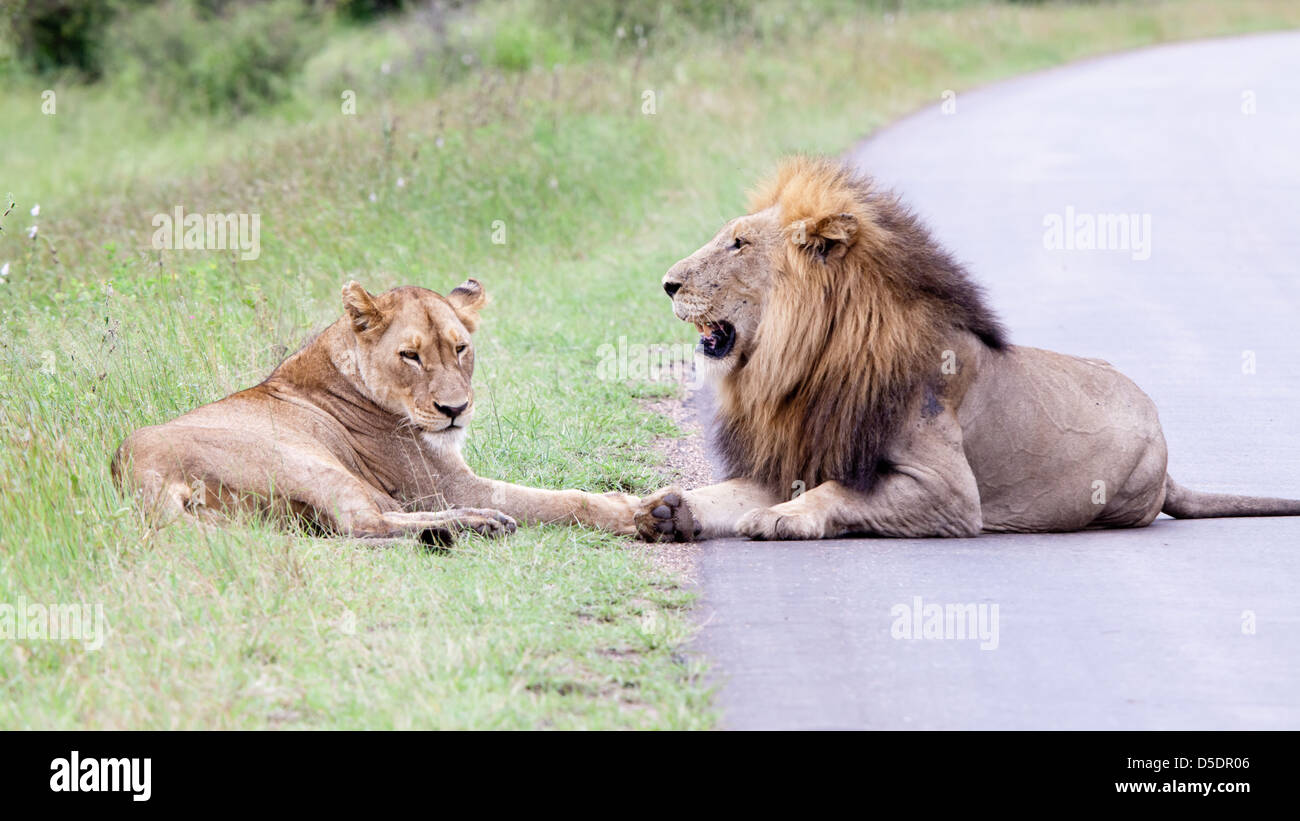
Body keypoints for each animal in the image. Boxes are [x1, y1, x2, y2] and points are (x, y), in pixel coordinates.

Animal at [113, 279, 638, 545]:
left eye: (460, 348)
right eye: (410, 356)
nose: (455, 410)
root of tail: (133, 470)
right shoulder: (444, 484)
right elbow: (557, 501)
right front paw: (634, 511)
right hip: (309, 462)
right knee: (362, 523)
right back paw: (480, 521)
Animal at [635, 156, 1300, 541]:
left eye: (738, 244)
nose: (665, 283)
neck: (809, 361)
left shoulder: (951, 493)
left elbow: (839, 492)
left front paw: (783, 518)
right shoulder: (798, 456)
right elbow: (722, 494)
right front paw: (664, 510)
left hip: (1121, 499)